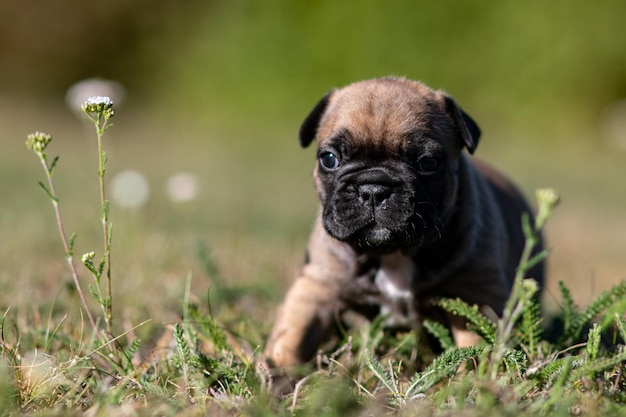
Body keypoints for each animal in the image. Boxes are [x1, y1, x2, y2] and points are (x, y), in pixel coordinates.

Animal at [264, 76, 540, 366]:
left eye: (427, 162)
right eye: (329, 159)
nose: (373, 189)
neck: (392, 253)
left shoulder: (475, 294)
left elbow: (475, 343)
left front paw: (474, 373)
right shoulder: (317, 285)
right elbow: (293, 333)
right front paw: (276, 368)